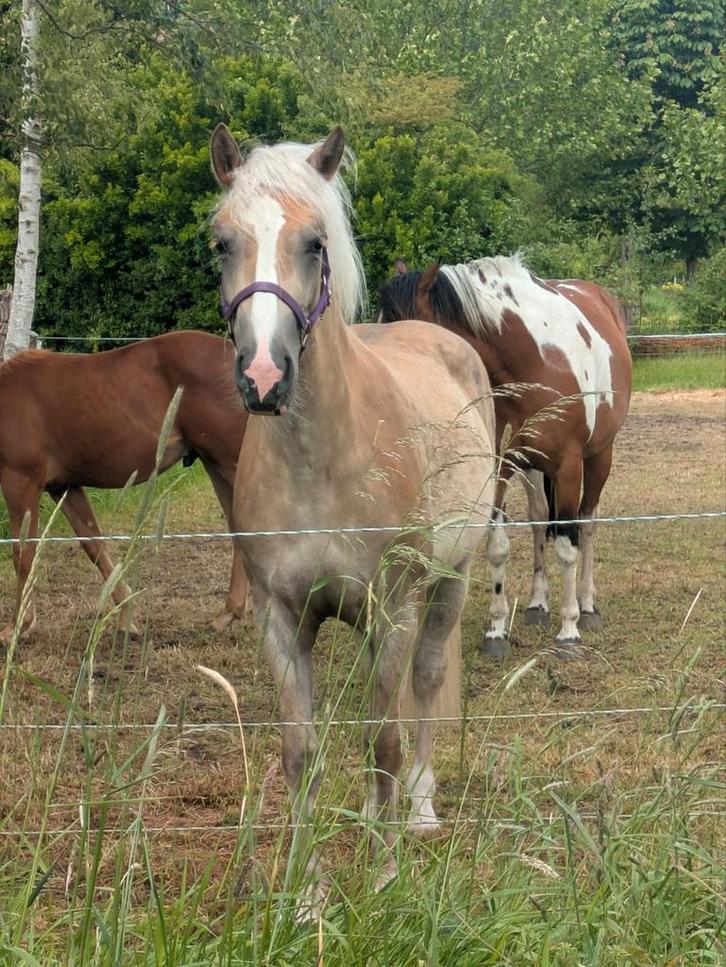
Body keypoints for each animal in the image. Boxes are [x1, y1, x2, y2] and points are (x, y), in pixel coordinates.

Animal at [0, 331, 248, 644]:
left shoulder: (20, 481)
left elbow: (23, 554)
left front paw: (18, 626)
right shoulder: (64, 486)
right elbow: (94, 546)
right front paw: (126, 616)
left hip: (230, 462)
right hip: (215, 464)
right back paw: (228, 614)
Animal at [208, 123, 496, 914]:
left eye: (315, 242)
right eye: (222, 242)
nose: (263, 376)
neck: (323, 463)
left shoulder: (392, 607)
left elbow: (383, 742)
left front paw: (387, 876)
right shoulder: (281, 621)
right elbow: (301, 752)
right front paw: (307, 893)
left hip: (449, 583)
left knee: (422, 687)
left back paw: (418, 811)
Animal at [380, 256, 632, 659]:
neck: (536, 365)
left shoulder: (568, 468)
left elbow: (568, 546)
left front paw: (570, 630)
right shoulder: (499, 470)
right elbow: (498, 548)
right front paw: (497, 630)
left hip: (599, 458)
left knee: (587, 523)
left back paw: (588, 606)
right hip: (532, 468)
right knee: (539, 521)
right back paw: (537, 604)